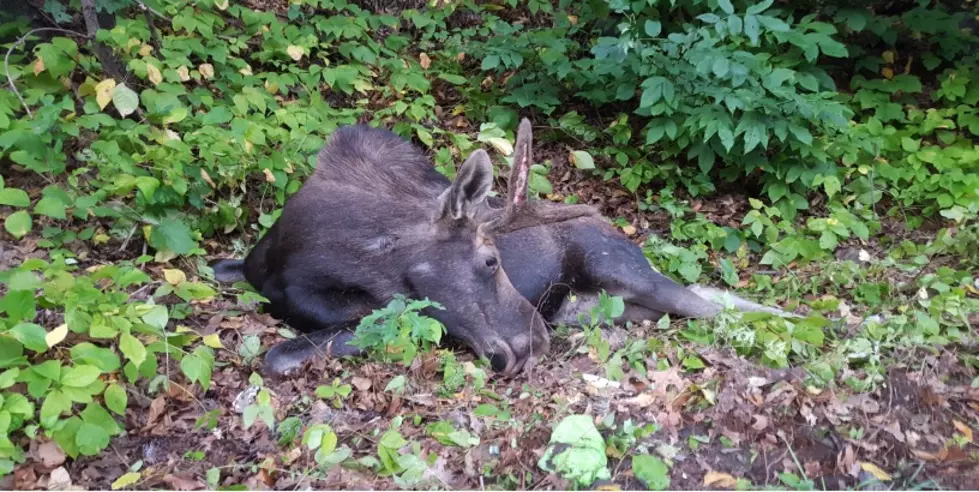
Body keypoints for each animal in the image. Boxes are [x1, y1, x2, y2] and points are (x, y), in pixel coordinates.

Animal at [214, 119, 796, 376]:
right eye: (490, 260)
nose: (536, 341)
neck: (305, 252)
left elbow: (283, 354)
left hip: (624, 270)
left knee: (713, 303)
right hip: (598, 306)